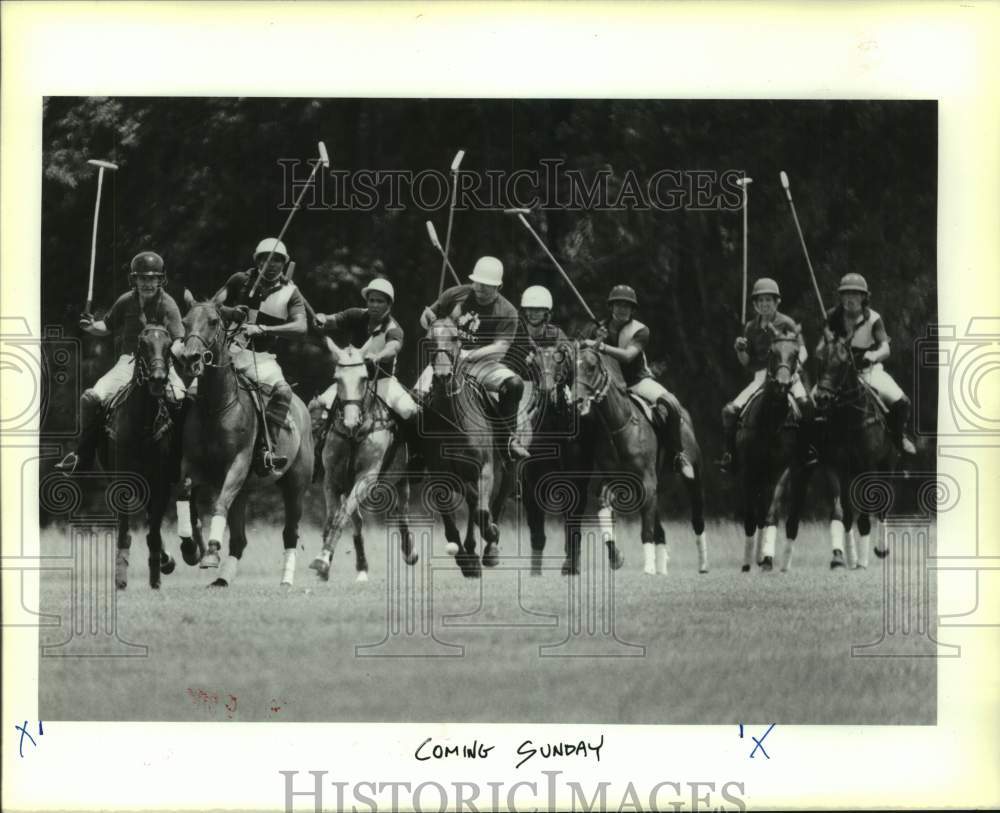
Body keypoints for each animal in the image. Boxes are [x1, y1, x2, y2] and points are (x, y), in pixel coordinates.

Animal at [96, 324, 179, 588]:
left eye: (169, 345)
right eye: (143, 344)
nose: (158, 379)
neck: (142, 421)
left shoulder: (160, 481)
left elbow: (154, 532)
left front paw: (156, 576)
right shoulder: (122, 482)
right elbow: (124, 532)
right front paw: (120, 579)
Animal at [173, 302, 312, 588]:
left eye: (213, 321)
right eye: (185, 320)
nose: (190, 358)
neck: (215, 407)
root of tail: (302, 407)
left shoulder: (237, 464)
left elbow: (218, 504)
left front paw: (210, 553)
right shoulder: (192, 465)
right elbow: (185, 497)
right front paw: (191, 548)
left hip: (296, 484)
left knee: (290, 532)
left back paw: (286, 580)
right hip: (245, 492)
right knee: (239, 540)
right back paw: (222, 579)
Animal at [304, 340, 414, 580]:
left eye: (364, 377)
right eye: (337, 378)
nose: (350, 421)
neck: (354, 434)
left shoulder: (367, 477)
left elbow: (341, 516)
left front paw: (322, 559)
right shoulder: (333, 479)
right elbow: (333, 518)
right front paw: (324, 562)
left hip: (401, 478)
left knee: (402, 513)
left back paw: (410, 552)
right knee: (357, 520)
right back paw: (361, 566)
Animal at [808, 334, 896, 568]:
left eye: (843, 363)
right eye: (820, 359)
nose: (822, 398)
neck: (850, 418)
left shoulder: (868, 467)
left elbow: (865, 516)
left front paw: (863, 561)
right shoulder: (835, 467)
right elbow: (842, 513)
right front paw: (843, 557)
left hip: (886, 465)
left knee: (883, 506)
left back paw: (881, 549)